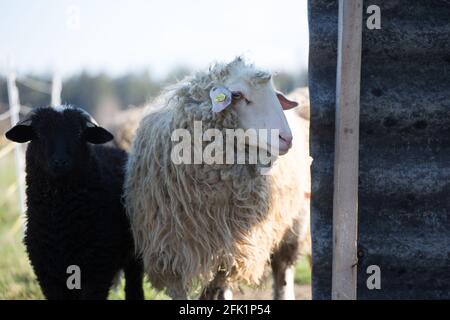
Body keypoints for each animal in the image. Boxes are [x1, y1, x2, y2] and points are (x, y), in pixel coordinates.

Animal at [6, 107, 145, 300]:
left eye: (79, 133)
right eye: (39, 134)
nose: (60, 161)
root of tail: (115, 149)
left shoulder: (98, 270)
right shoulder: (47, 274)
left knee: (134, 282)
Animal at [125, 58, 312, 300]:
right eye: (238, 95)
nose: (287, 138)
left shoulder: (230, 250)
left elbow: (219, 288)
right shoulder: (170, 252)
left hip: (295, 222)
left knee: (282, 270)